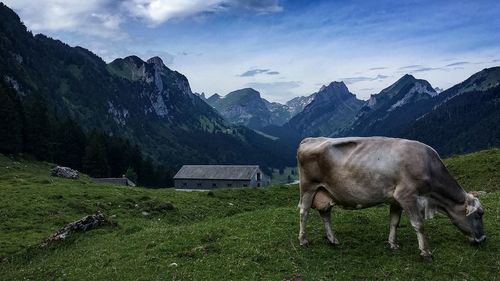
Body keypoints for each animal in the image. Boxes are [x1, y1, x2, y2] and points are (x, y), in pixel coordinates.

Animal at [296, 136, 484, 258]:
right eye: (478, 214)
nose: (483, 238)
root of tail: (310, 139)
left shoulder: (396, 199)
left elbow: (394, 222)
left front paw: (393, 244)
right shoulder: (407, 195)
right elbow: (418, 224)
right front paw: (426, 252)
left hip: (325, 192)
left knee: (325, 214)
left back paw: (333, 239)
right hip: (308, 187)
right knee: (304, 212)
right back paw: (303, 240)